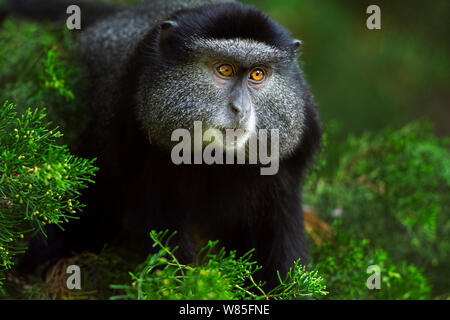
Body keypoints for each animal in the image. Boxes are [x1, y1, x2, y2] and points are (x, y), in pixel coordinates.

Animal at [8, 0, 322, 290]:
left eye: (257, 74)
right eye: (224, 69)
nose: (240, 109)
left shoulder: (288, 163)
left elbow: (280, 227)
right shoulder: (137, 130)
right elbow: (157, 221)